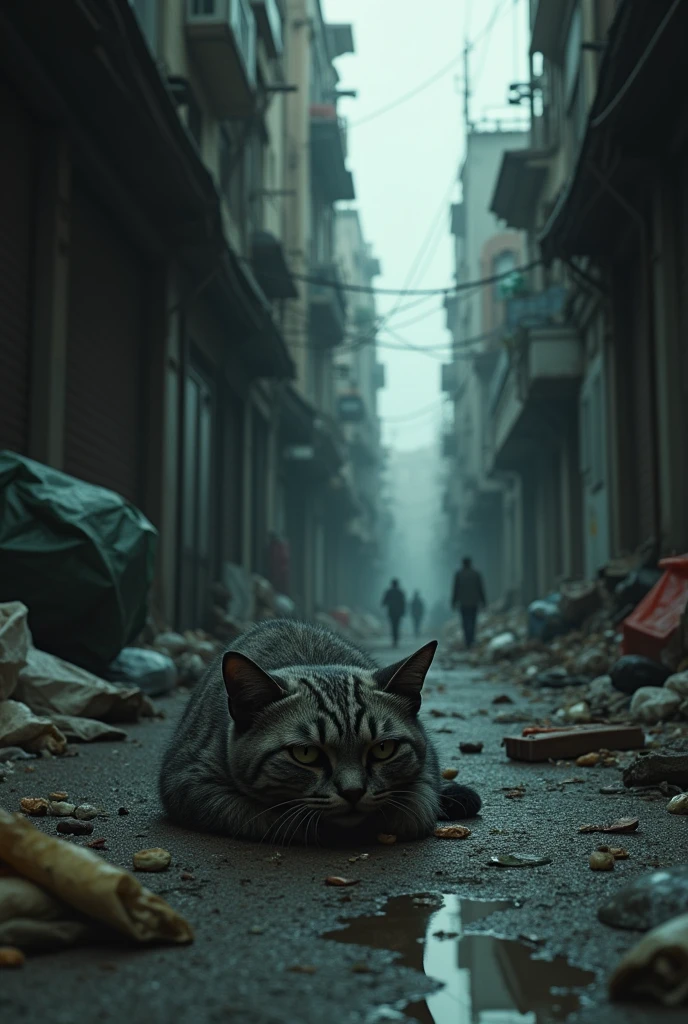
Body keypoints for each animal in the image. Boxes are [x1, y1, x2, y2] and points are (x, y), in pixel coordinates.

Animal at [159, 618, 481, 843]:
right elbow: (271, 820)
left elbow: (414, 809)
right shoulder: (190, 781)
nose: (353, 792)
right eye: (305, 754)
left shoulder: (427, 773)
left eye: (383, 749)